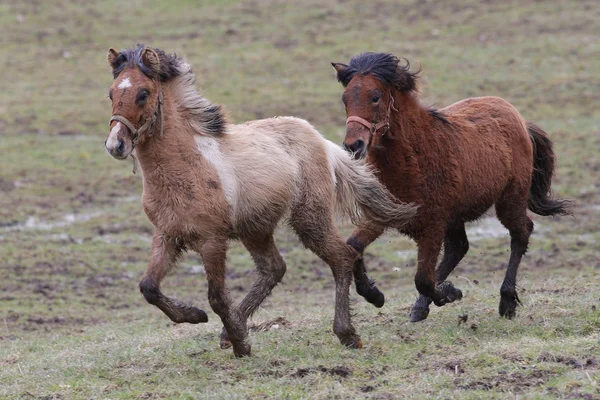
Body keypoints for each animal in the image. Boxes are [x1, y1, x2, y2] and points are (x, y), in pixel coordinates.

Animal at [105, 45, 420, 358]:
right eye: (111, 93)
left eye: (143, 93)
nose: (115, 145)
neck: (187, 166)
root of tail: (322, 142)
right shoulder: (168, 234)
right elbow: (148, 287)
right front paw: (196, 316)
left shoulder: (211, 240)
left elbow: (217, 297)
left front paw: (241, 344)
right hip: (255, 227)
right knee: (274, 268)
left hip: (309, 218)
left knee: (341, 257)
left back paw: (347, 333)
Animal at [332, 52, 572, 322]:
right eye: (345, 98)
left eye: (375, 97)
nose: (353, 145)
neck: (416, 156)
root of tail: (519, 119)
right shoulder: (381, 215)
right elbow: (353, 247)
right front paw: (374, 294)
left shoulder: (433, 225)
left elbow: (423, 279)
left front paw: (449, 293)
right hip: (458, 215)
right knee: (460, 248)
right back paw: (421, 306)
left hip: (510, 199)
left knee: (521, 233)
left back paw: (506, 301)